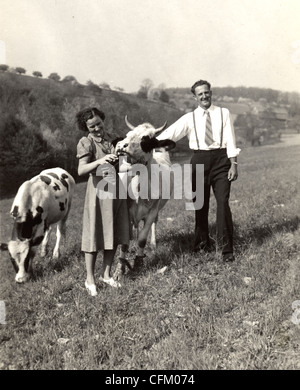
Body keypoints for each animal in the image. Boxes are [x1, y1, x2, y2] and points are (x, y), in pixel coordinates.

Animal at [112, 116, 176, 274]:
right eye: (128, 134)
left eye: (145, 139)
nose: (121, 146)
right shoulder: (124, 213)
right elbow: (124, 242)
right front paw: (120, 268)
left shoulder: (152, 211)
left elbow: (142, 239)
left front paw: (139, 262)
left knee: (152, 225)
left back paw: (152, 243)